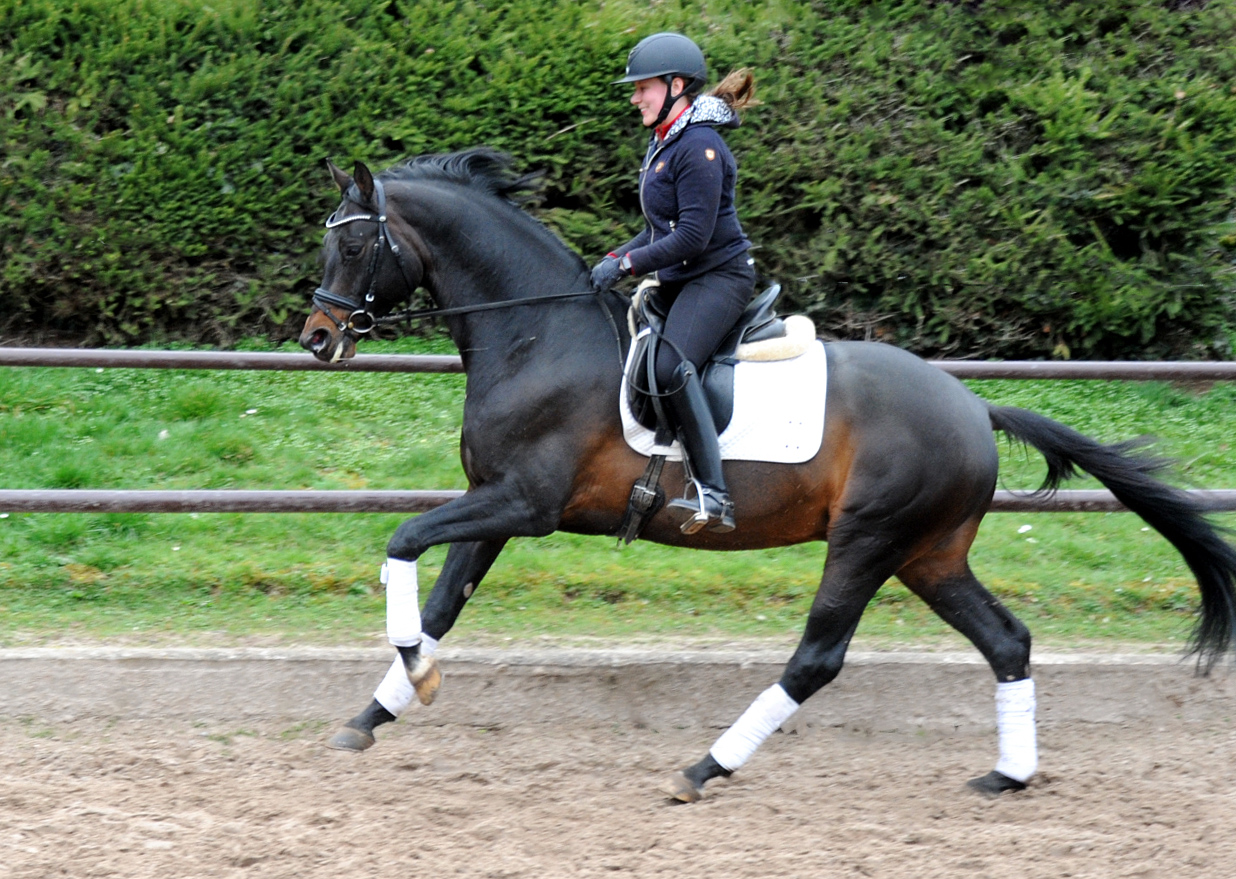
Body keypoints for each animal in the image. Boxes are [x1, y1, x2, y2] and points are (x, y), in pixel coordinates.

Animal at [296, 151, 1236, 806]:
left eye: (356, 240)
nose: (317, 338)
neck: (536, 334)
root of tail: (974, 406)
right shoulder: (495, 507)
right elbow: (440, 601)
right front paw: (376, 711)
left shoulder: (522, 504)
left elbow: (403, 541)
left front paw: (412, 675)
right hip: (929, 552)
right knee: (1007, 641)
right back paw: (1008, 776)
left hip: (869, 539)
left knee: (817, 657)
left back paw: (703, 768)